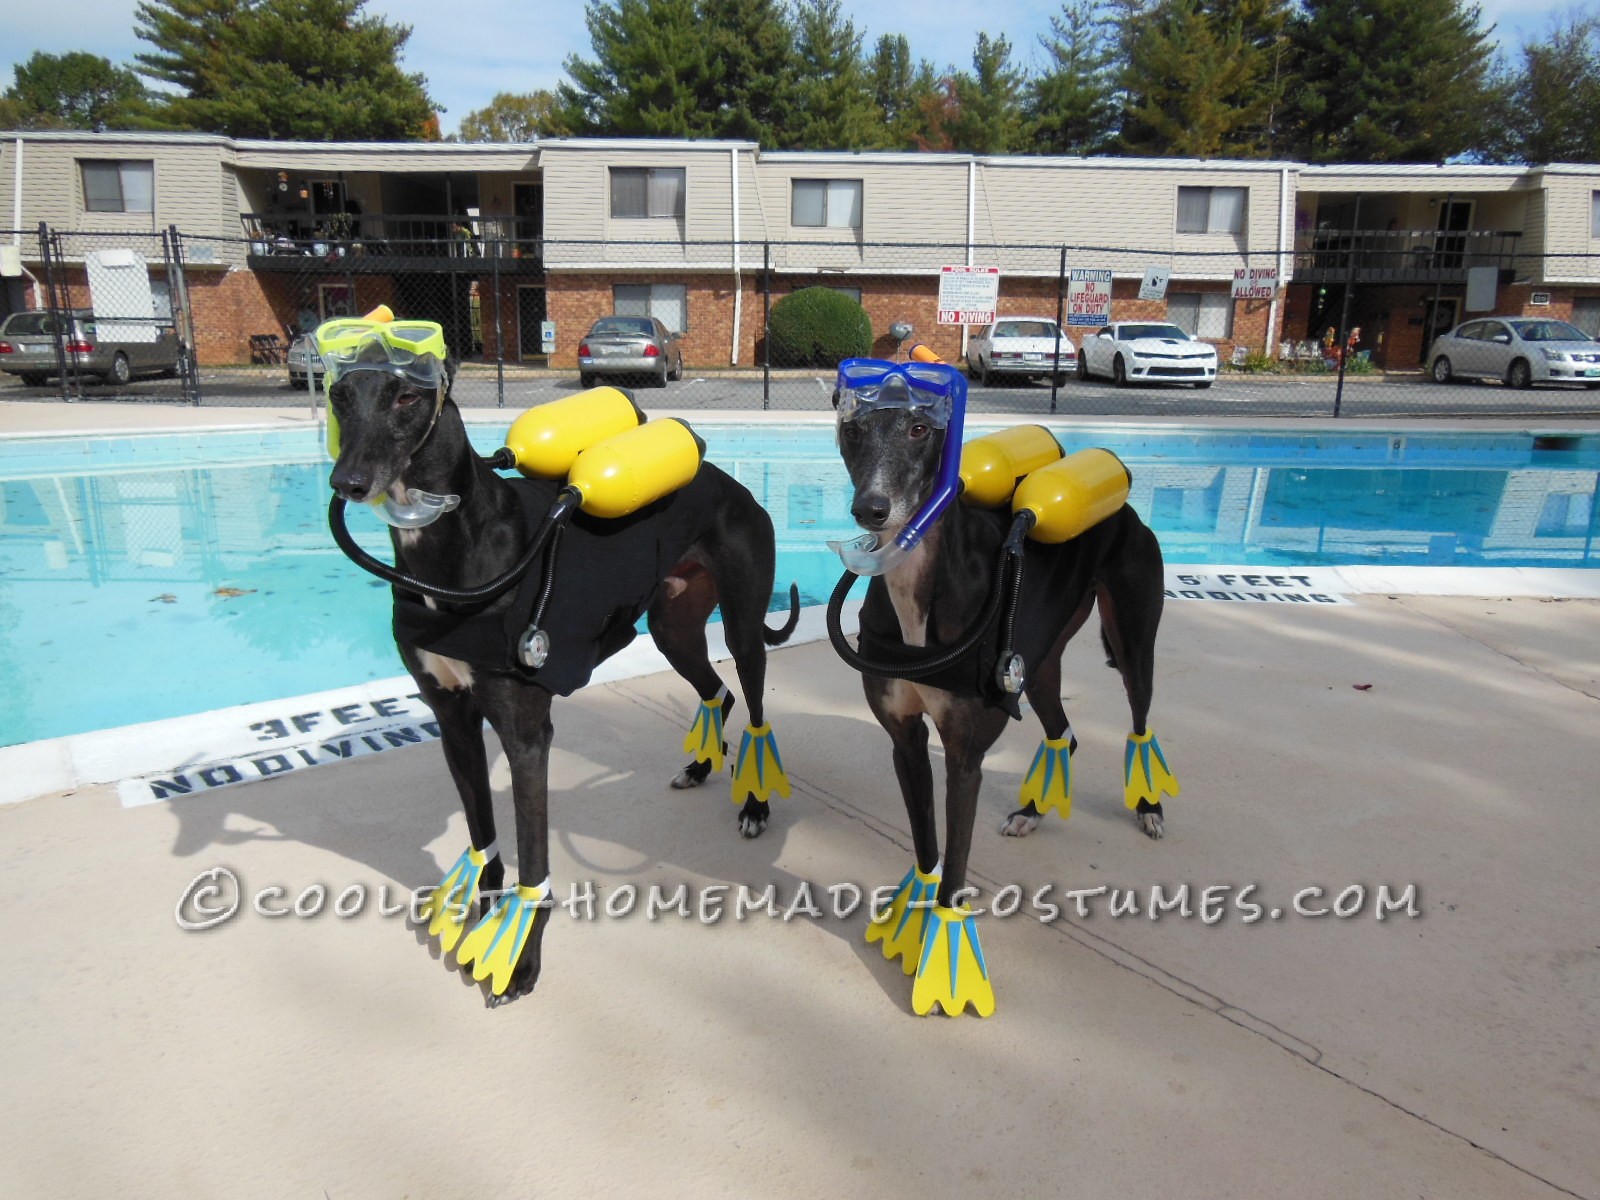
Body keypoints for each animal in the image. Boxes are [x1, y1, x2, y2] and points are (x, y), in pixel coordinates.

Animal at [329, 366, 793, 1004]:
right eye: (338, 396)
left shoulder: (526, 735)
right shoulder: (453, 720)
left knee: (753, 708)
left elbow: (533, 858)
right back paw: (700, 768)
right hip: (672, 625)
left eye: (406, 396)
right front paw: (483, 920)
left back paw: (754, 806)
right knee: (715, 692)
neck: (456, 546)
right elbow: (483, 836)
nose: (346, 482)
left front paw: (520, 962)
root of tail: (727, 480)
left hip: (743, 627)